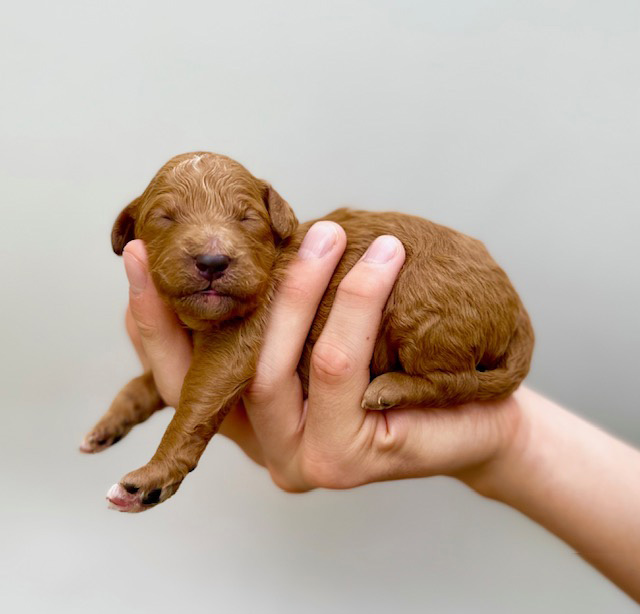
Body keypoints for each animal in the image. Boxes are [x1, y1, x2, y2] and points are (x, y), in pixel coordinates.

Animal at [80, 152, 536, 512]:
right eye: (165, 217)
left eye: (247, 218)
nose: (212, 261)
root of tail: (518, 311)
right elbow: (142, 386)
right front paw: (108, 425)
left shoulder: (235, 343)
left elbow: (194, 406)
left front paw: (149, 480)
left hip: (422, 304)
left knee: (456, 380)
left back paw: (390, 388)